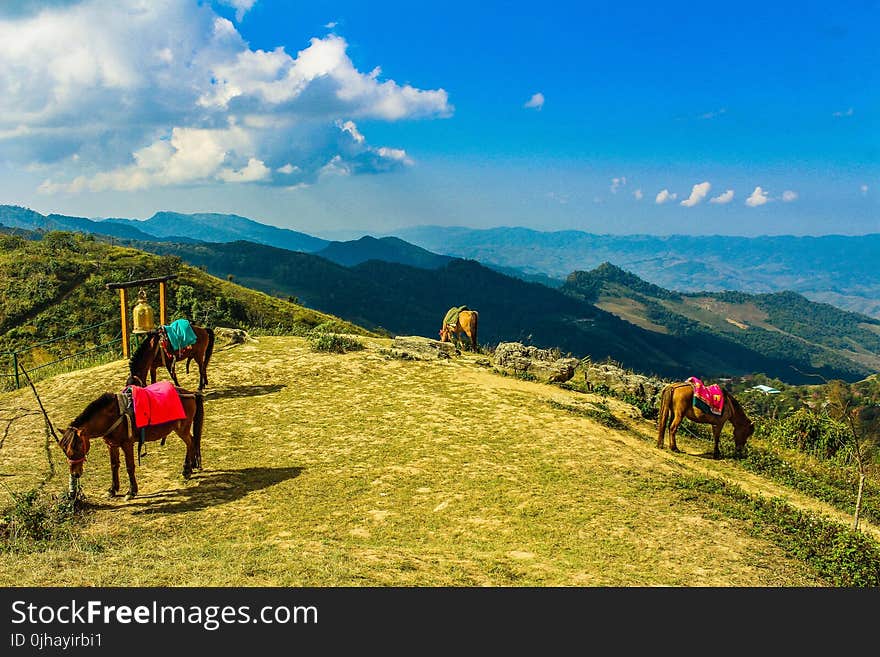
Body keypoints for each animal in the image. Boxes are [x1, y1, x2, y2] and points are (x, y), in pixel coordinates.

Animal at [60, 384, 205, 498]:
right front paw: (112, 489)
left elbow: (130, 467)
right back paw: (192, 466)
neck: (113, 416)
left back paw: (187, 470)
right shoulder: (111, 445)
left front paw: (131, 491)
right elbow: (114, 466)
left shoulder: (127, 444)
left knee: (190, 443)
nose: (75, 474)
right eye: (65, 450)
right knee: (192, 442)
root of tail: (191, 393)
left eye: (77, 447)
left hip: (182, 429)